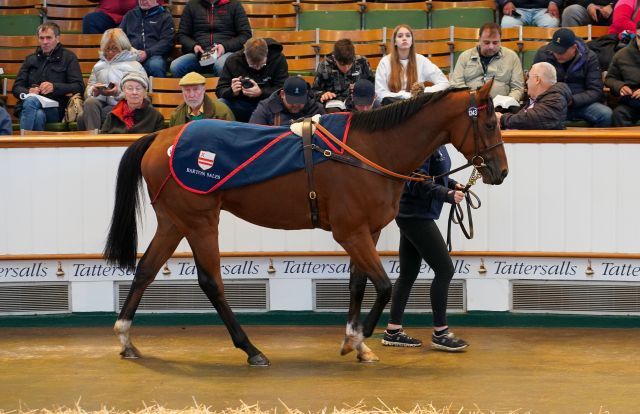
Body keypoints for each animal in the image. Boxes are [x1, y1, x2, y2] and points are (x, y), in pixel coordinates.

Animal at [105, 80, 508, 366]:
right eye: (490, 123)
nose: (500, 172)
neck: (370, 151)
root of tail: (161, 137)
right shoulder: (351, 232)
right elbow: (383, 286)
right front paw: (360, 337)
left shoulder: (366, 231)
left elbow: (359, 285)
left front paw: (355, 341)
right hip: (200, 222)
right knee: (211, 282)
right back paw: (251, 349)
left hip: (173, 222)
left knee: (146, 270)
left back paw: (126, 338)